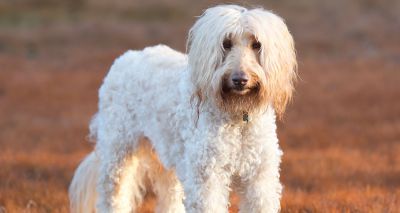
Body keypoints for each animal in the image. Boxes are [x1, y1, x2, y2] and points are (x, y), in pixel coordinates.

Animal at [69, 5, 296, 213]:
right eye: (226, 44)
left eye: (257, 44)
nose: (240, 79)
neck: (238, 116)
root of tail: (125, 57)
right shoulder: (207, 177)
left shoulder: (260, 178)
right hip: (117, 153)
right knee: (112, 197)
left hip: (168, 159)